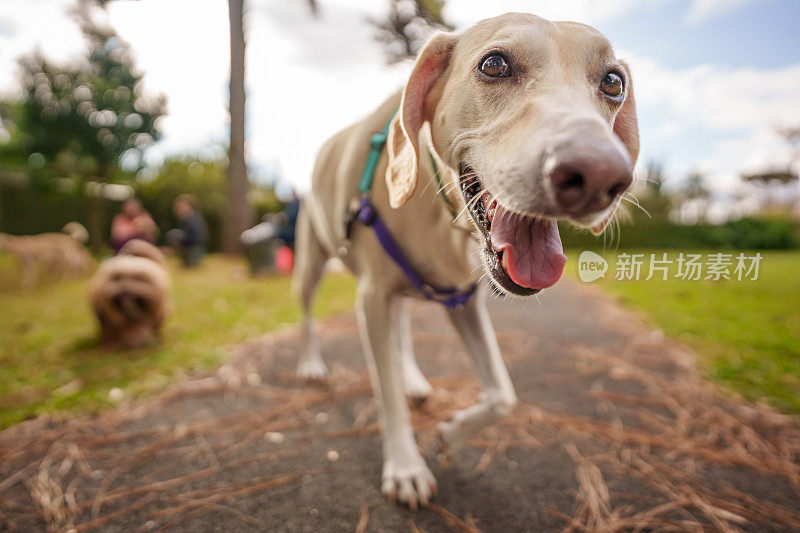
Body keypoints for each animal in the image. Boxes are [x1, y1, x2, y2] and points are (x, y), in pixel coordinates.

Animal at [292, 10, 636, 504]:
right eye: (494, 65)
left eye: (613, 81)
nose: (599, 176)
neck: (440, 214)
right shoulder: (371, 297)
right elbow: (386, 394)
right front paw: (405, 466)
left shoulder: (464, 301)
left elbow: (503, 394)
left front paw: (452, 435)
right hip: (310, 264)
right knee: (307, 317)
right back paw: (311, 364)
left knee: (401, 332)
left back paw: (414, 380)